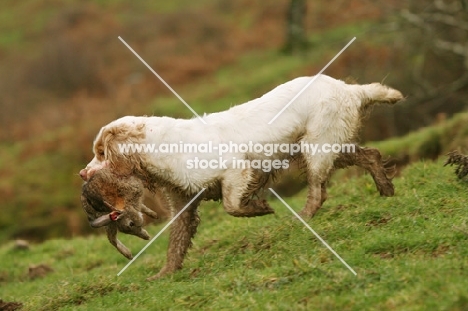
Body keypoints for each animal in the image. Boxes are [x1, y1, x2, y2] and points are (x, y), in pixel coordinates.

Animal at [79, 75, 402, 280]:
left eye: (101, 152)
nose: (82, 173)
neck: (160, 150)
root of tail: (350, 90)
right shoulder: (184, 203)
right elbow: (176, 243)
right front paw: (164, 274)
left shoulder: (236, 170)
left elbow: (231, 205)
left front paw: (260, 207)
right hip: (332, 145)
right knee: (371, 155)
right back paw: (386, 190)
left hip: (317, 146)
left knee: (318, 191)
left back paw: (302, 217)